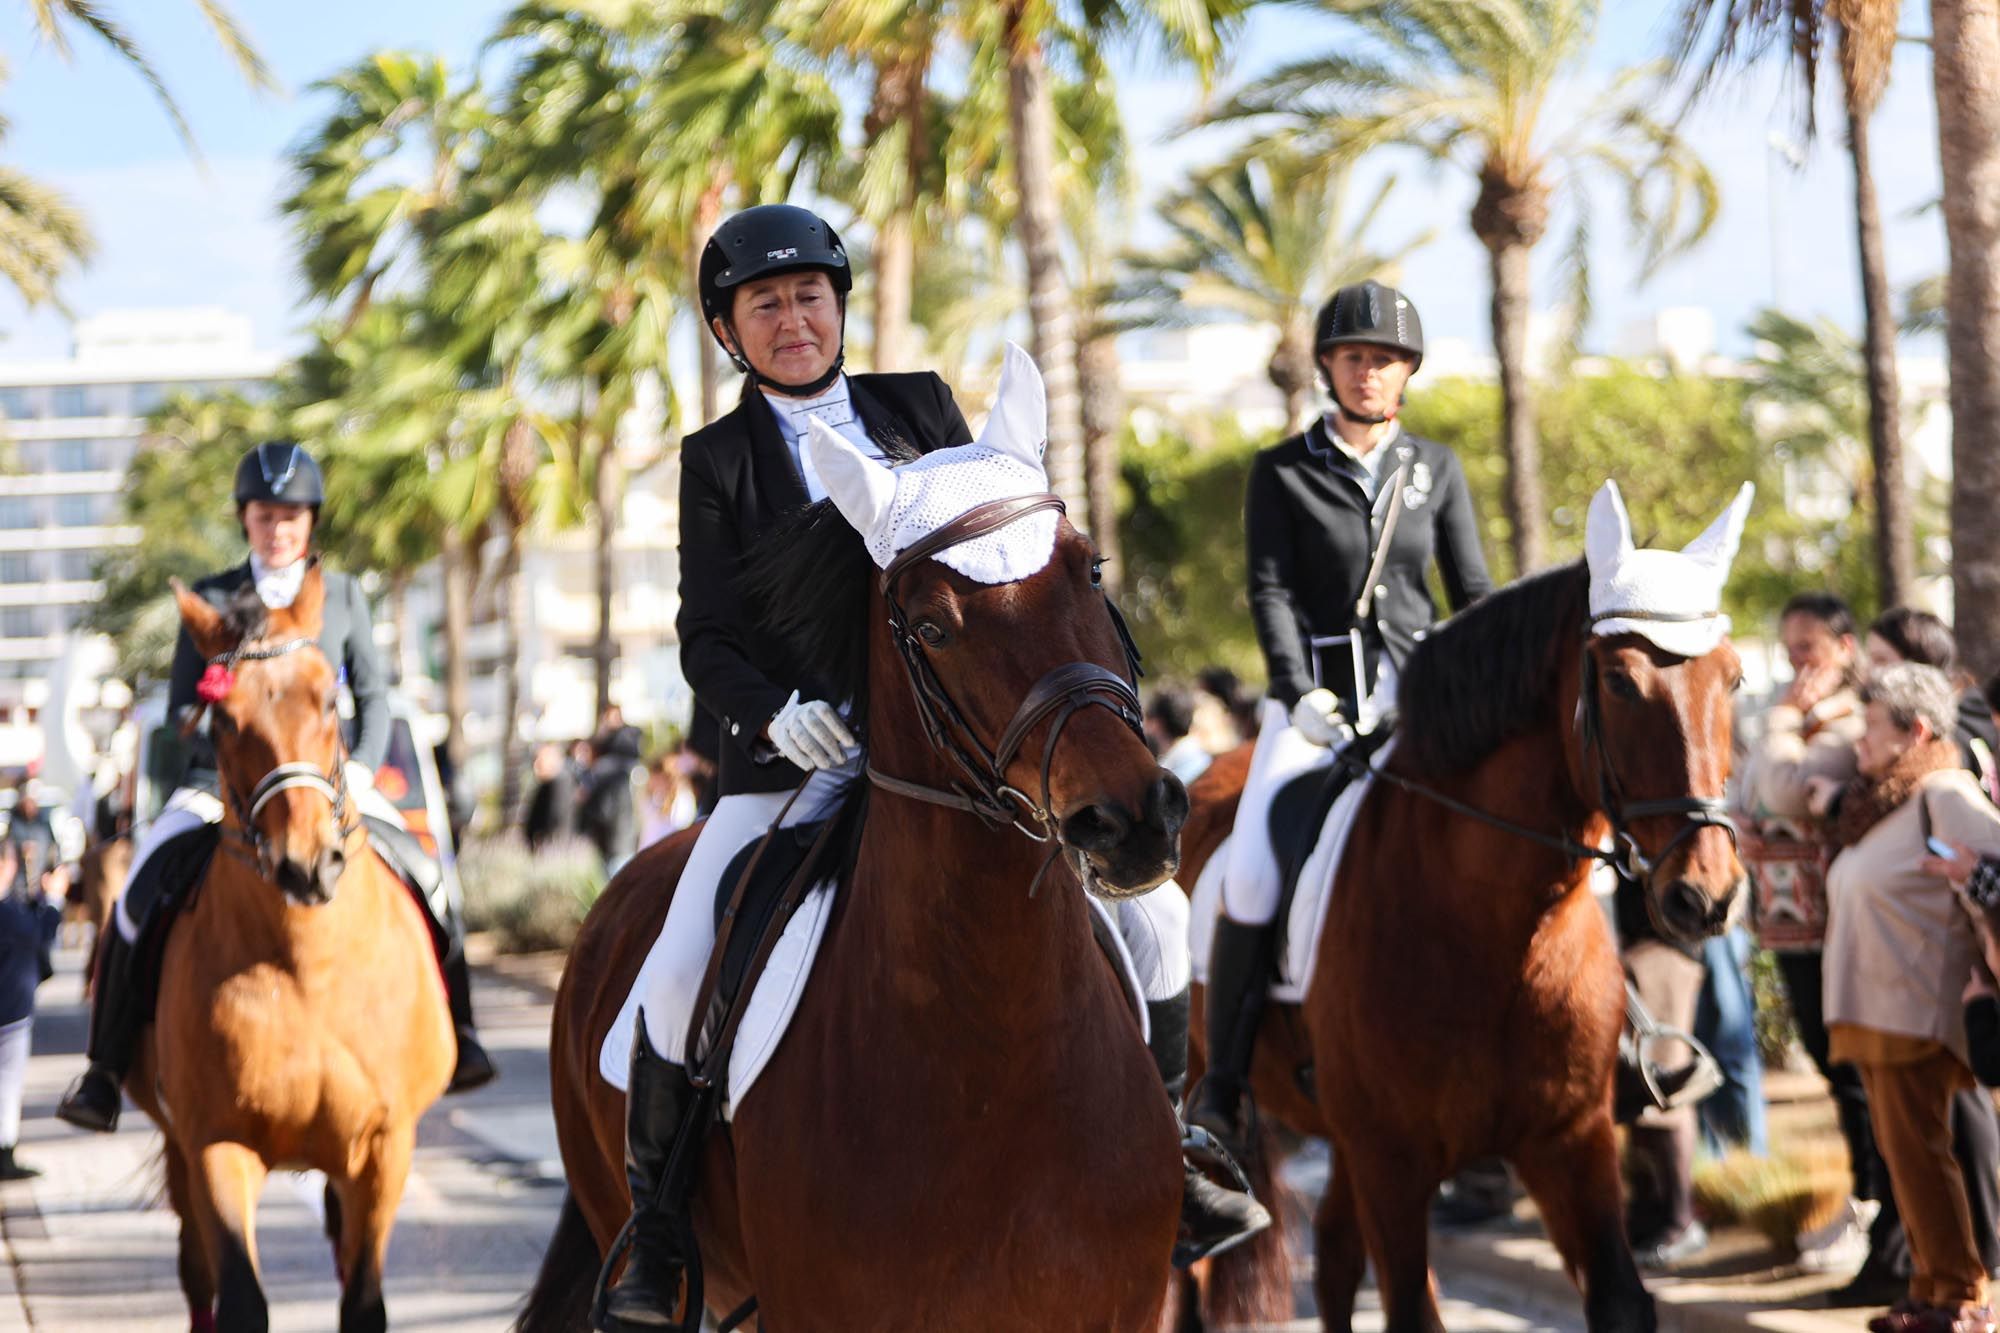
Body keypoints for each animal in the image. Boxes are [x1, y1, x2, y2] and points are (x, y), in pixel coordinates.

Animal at [135, 568, 456, 1328]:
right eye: (221, 720)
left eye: (330, 700)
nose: (305, 866)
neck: (309, 967)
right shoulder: (216, 1143)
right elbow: (239, 1298)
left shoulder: (384, 1147)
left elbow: (362, 1299)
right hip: (177, 1145)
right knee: (197, 1274)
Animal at [1184, 560, 1736, 1328]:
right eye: (1620, 681)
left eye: (1734, 679)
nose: (1704, 894)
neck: (1496, 938)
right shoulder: (1391, 1161)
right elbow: (1413, 1309)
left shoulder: (1570, 1140)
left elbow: (1621, 1300)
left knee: (1333, 1256)